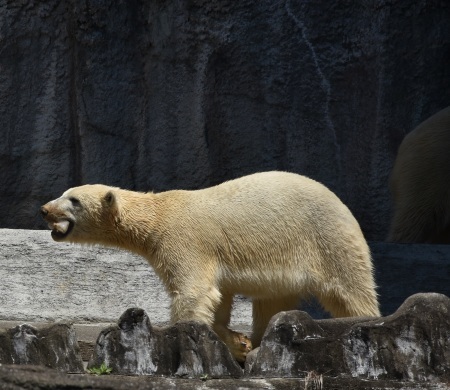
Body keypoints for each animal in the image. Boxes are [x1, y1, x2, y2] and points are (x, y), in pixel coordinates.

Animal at [41, 172, 380, 362]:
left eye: (73, 200)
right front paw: (237, 344)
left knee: (349, 289)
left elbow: (193, 292)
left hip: (326, 239)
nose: (45, 209)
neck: (157, 215)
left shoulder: (184, 240)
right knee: (273, 301)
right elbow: (219, 298)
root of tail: (341, 204)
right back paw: (258, 343)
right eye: (63, 193)